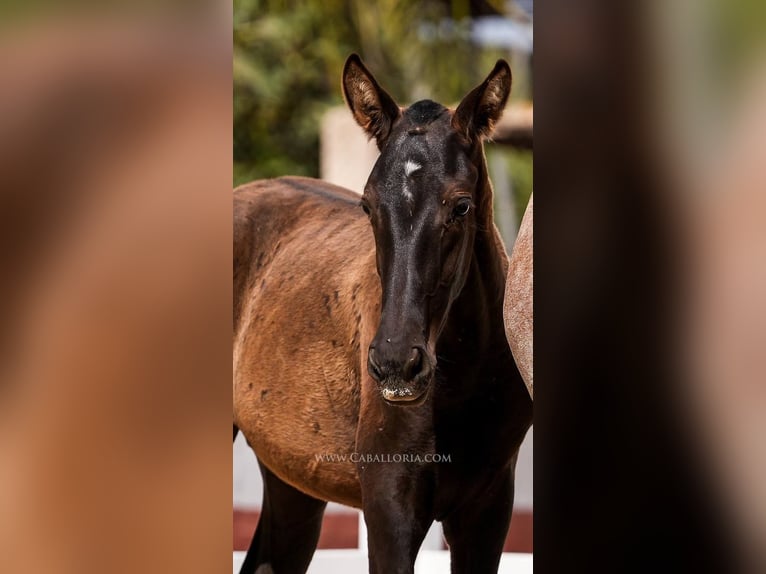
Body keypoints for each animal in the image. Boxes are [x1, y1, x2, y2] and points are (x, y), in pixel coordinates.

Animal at [234, 55, 536, 574]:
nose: (396, 363)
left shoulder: (488, 513)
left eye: (461, 205)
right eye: (368, 205)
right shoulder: (389, 510)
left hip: (291, 484)